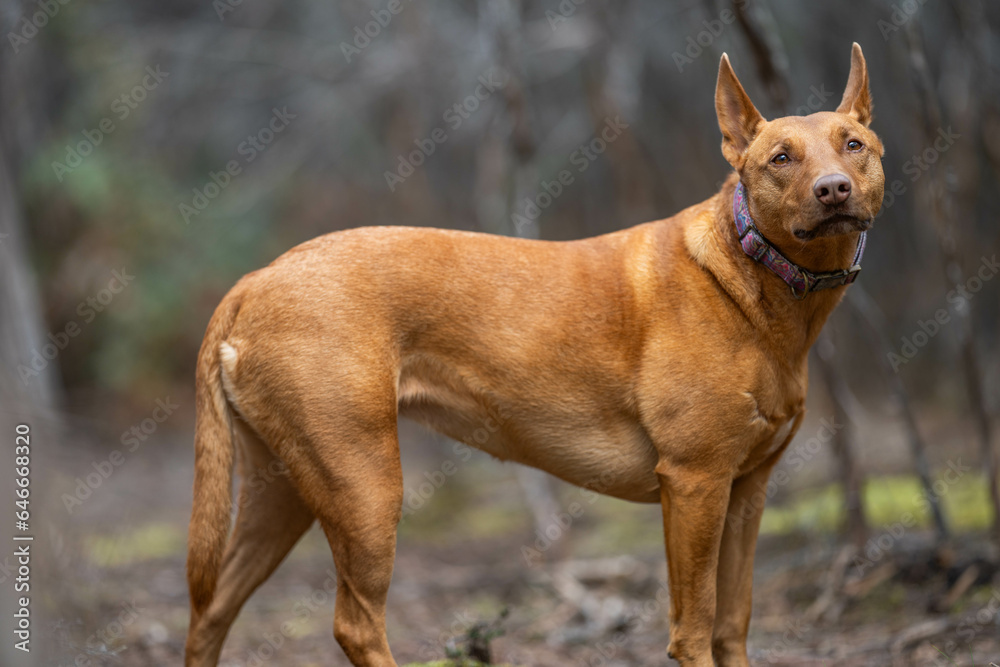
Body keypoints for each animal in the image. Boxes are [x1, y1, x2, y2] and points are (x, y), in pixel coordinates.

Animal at [186, 44, 884, 664]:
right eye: (780, 158)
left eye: (854, 145)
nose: (833, 189)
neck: (753, 277)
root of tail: (255, 281)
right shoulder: (695, 483)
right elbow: (694, 631)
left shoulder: (746, 492)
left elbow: (732, 626)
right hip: (364, 488)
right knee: (354, 625)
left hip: (283, 492)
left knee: (210, 612)